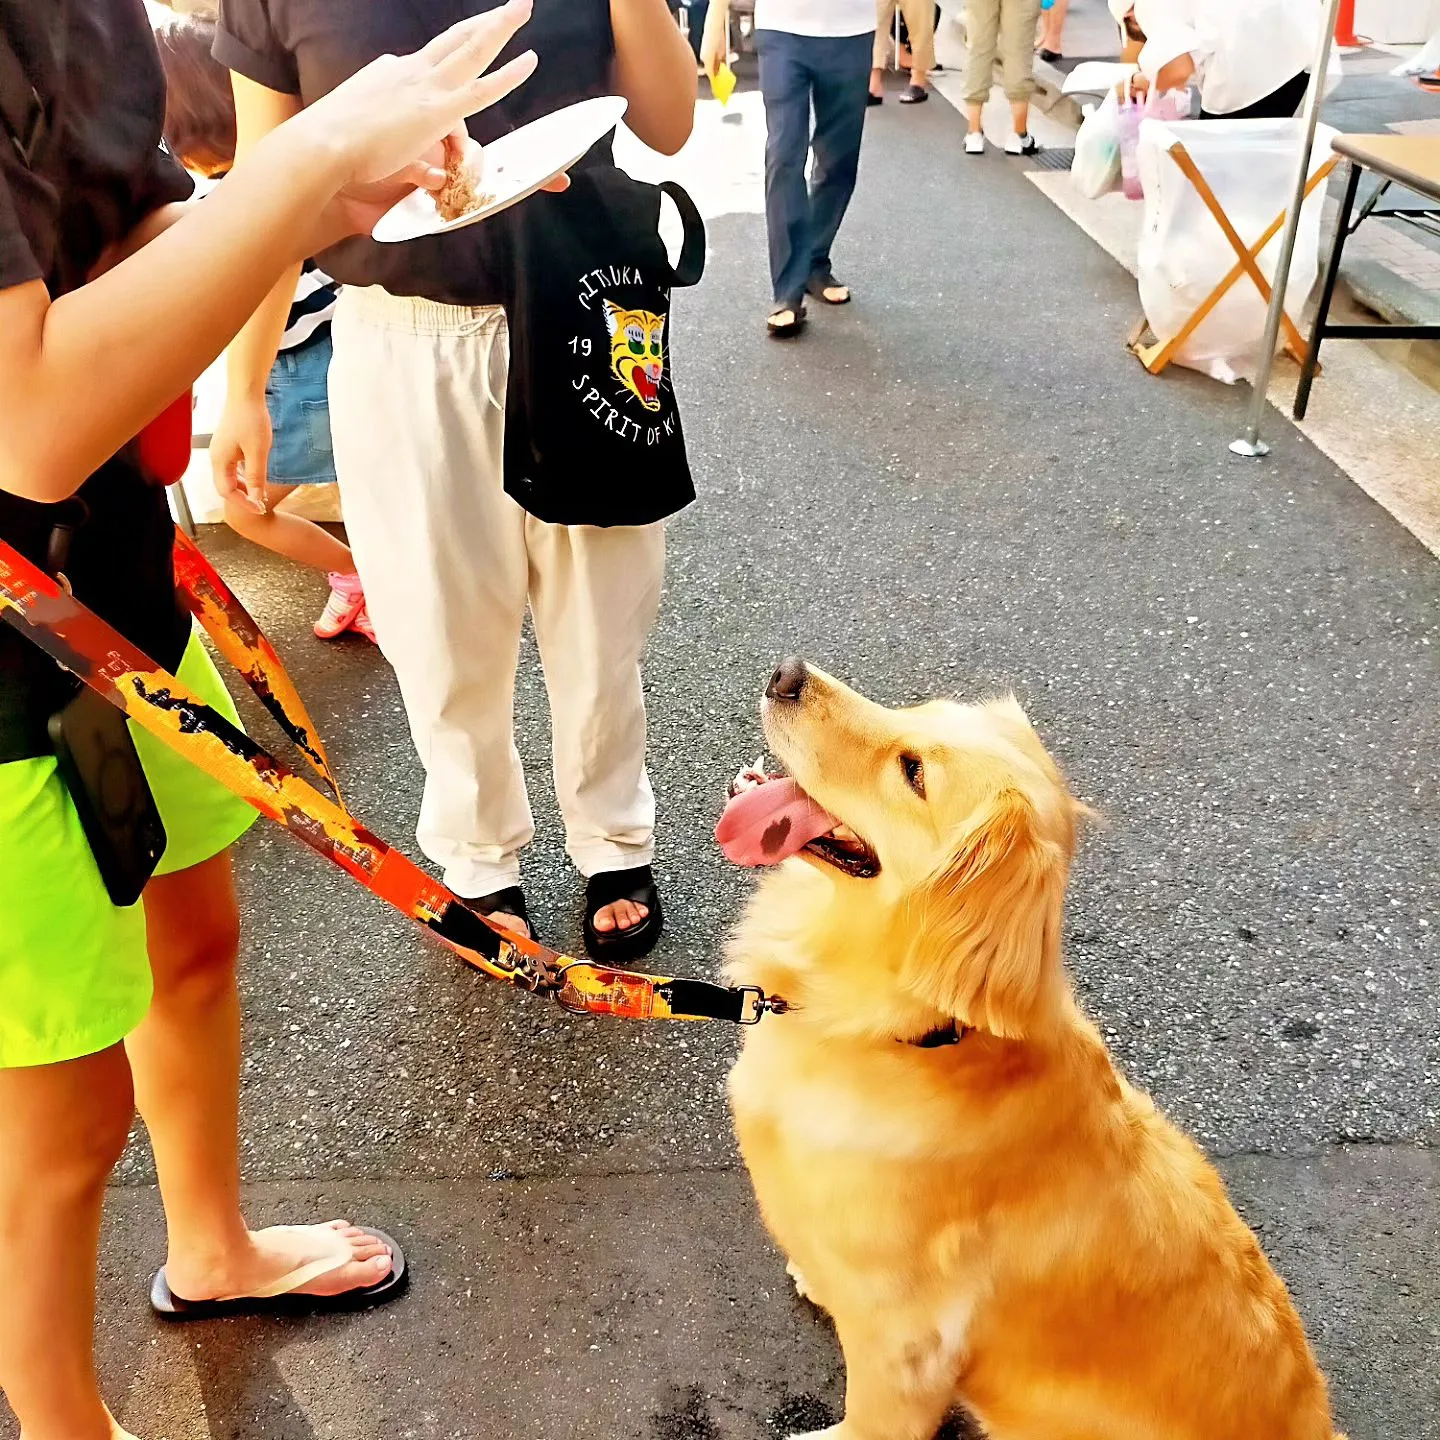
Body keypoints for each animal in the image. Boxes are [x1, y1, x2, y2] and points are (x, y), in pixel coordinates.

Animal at [720, 659, 1336, 1440]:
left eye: (913, 771)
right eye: (915, 708)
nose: (787, 673)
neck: (910, 1032)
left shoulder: (908, 1341)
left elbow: (872, 1419)